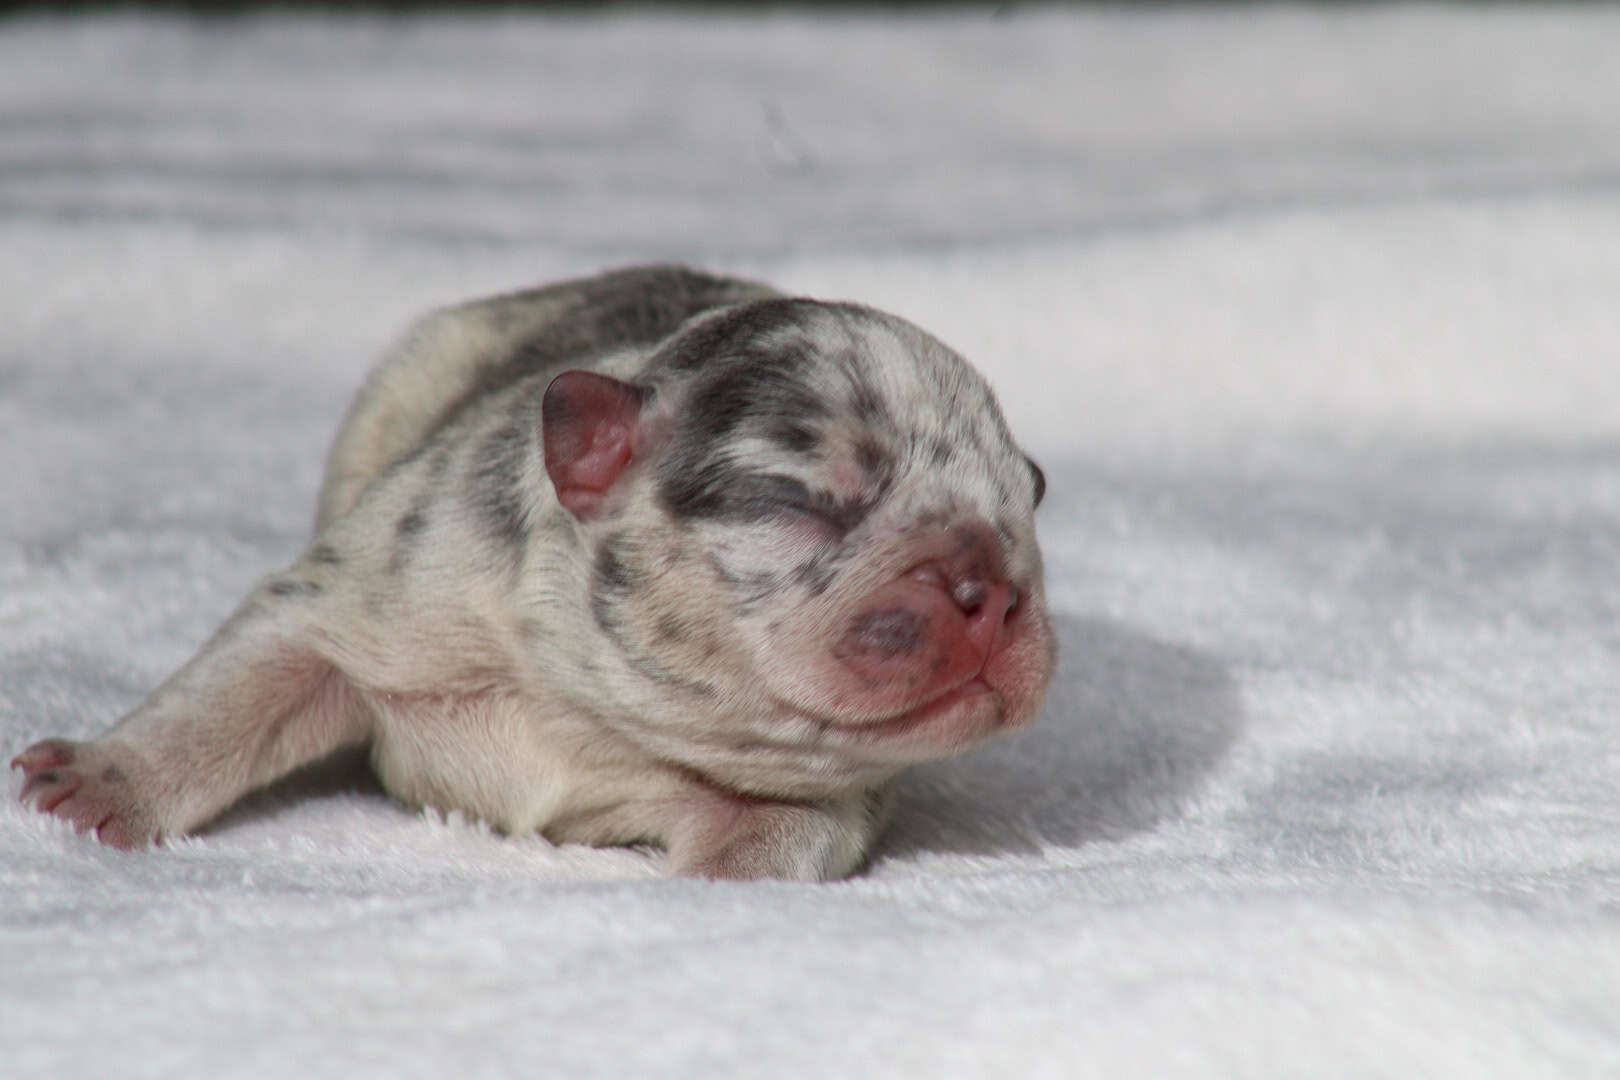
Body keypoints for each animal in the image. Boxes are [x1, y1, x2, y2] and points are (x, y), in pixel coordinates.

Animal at [19, 265, 1056, 880]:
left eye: (1028, 505)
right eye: (803, 501)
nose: (994, 592)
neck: (588, 702)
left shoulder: (813, 809)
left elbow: (764, 847)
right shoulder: (366, 583)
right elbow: (232, 691)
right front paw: (100, 781)